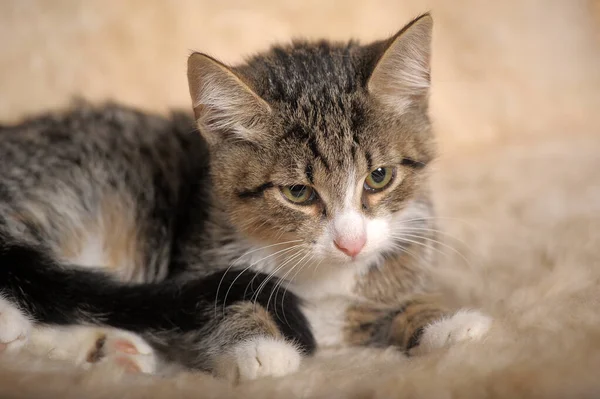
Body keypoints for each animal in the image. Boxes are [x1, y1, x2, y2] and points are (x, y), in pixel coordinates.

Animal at [0, 14, 490, 384]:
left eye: (379, 177)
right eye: (298, 192)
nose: (350, 244)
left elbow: (396, 304)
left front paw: (443, 322)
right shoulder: (198, 260)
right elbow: (221, 300)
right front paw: (259, 347)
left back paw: (105, 347)